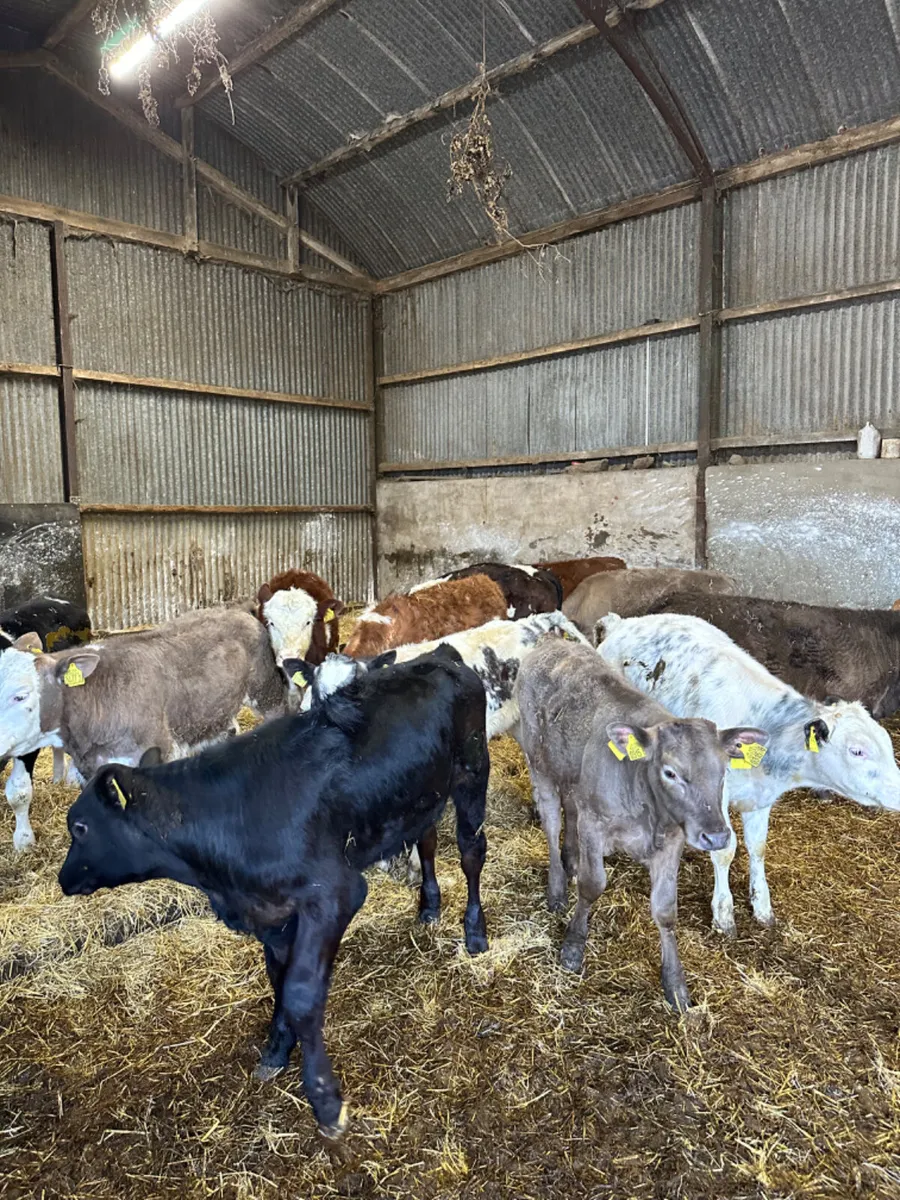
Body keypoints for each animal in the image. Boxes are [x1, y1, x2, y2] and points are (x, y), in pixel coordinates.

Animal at [58, 645, 490, 1137]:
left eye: (80, 827)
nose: (63, 878)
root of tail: (442, 653)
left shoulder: (334, 893)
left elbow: (300, 991)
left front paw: (325, 1098)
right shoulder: (272, 913)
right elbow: (278, 980)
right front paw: (277, 1049)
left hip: (472, 773)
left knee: (471, 852)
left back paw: (475, 933)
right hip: (421, 798)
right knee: (428, 840)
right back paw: (429, 906)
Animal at [516, 637, 764, 1009]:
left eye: (723, 771)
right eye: (670, 772)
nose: (717, 836)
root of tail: (553, 643)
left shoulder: (671, 841)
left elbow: (665, 910)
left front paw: (675, 984)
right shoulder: (595, 825)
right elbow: (592, 886)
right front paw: (573, 946)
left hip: (574, 777)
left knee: (570, 809)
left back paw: (570, 859)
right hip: (539, 763)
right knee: (552, 822)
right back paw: (557, 887)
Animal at [598, 613, 900, 935]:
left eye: (886, 742)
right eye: (858, 751)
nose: (899, 792)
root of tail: (624, 623)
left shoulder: (761, 798)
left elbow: (758, 847)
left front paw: (762, 906)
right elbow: (725, 850)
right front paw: (723, 915)